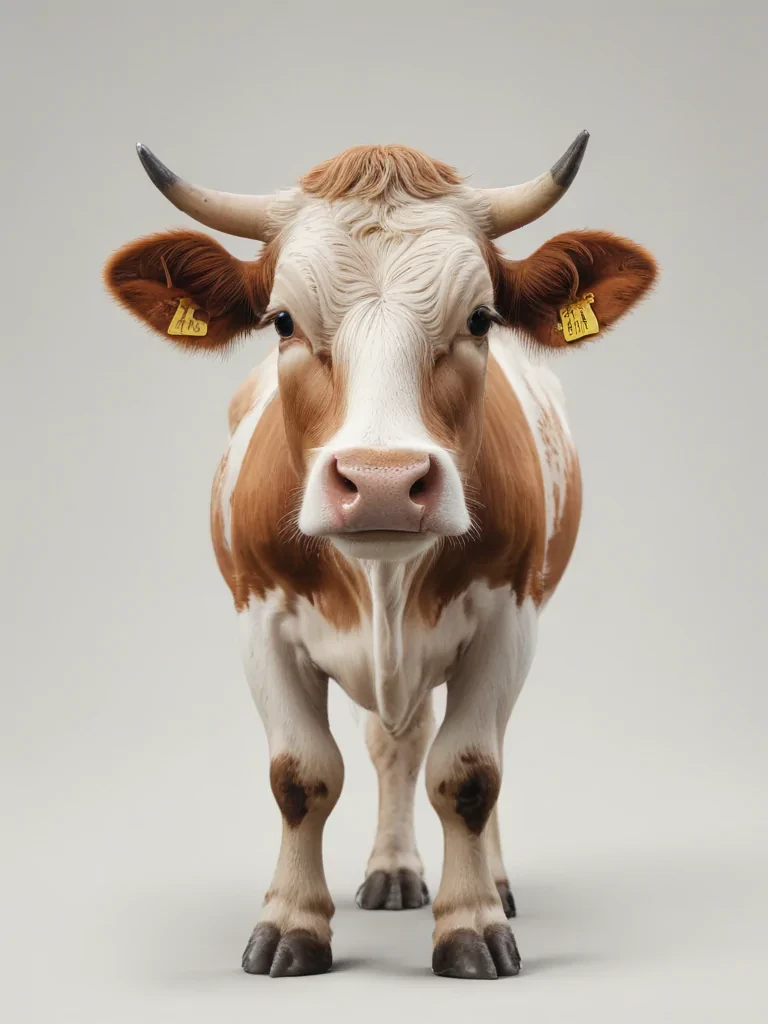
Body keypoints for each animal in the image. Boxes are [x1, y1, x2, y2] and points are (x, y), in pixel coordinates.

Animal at [104, 133, 656, 980]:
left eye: (482, 317)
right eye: (281, 321)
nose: (384, 483)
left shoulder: (508, 622)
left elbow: (470, 773)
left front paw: (472, 923)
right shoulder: (259, 621)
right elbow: (302, 775)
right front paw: (291, 923)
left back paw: (492, 882)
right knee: (393, 743)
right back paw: (393, 869)